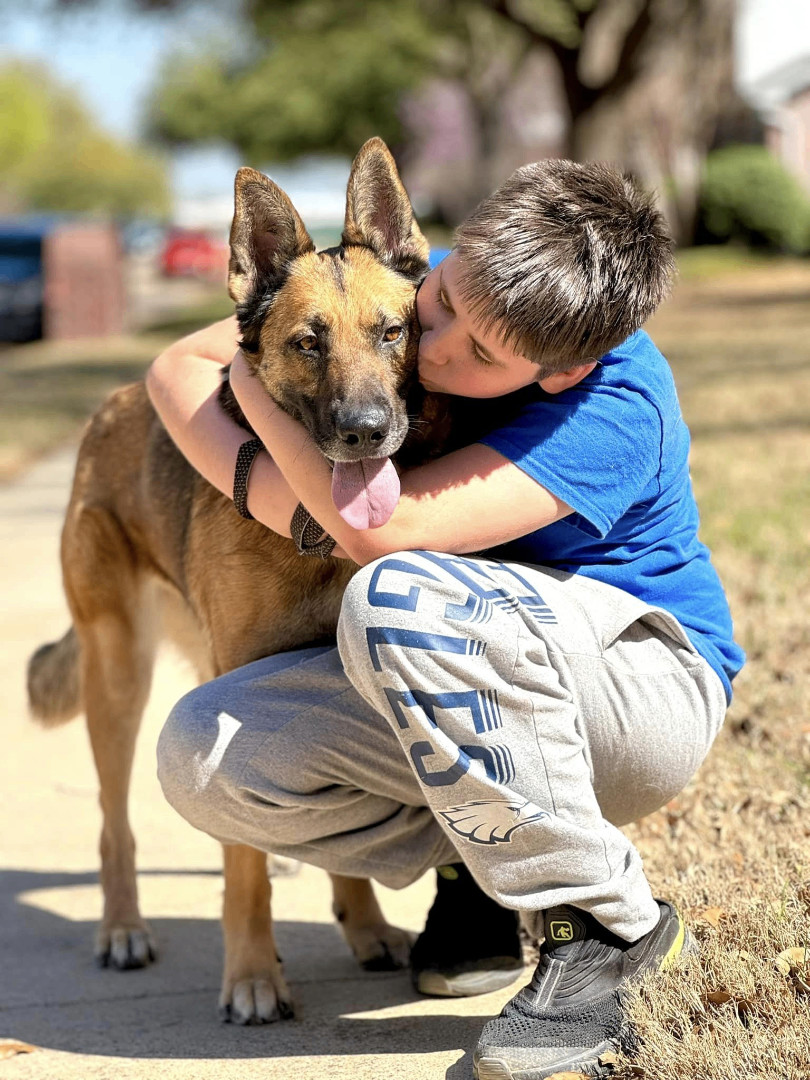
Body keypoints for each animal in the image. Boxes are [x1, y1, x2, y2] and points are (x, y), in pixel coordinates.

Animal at [27, 139, 451, 1023]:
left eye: (392, 333)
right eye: (308, 344)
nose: (365, 434)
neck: (314, 536)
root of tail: (110, 407)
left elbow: (339, 848)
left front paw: (364, 927)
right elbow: (240, 873)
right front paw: (254, 975)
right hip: (118, 676)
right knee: (114, 821)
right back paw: (123, 928)